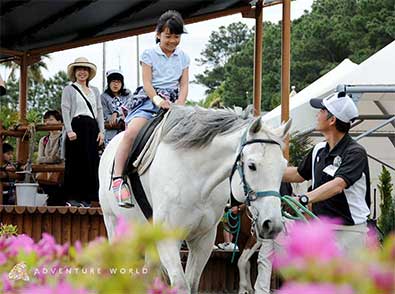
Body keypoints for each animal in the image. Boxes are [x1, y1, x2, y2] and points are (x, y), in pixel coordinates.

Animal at [99, 105, 290, 292]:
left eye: (284, 167)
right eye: (252, 166)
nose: (272, 224)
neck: (197, 179)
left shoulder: (203, 239)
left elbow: (192, 284)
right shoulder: (168, 237)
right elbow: (181, 285)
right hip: (114, 224)